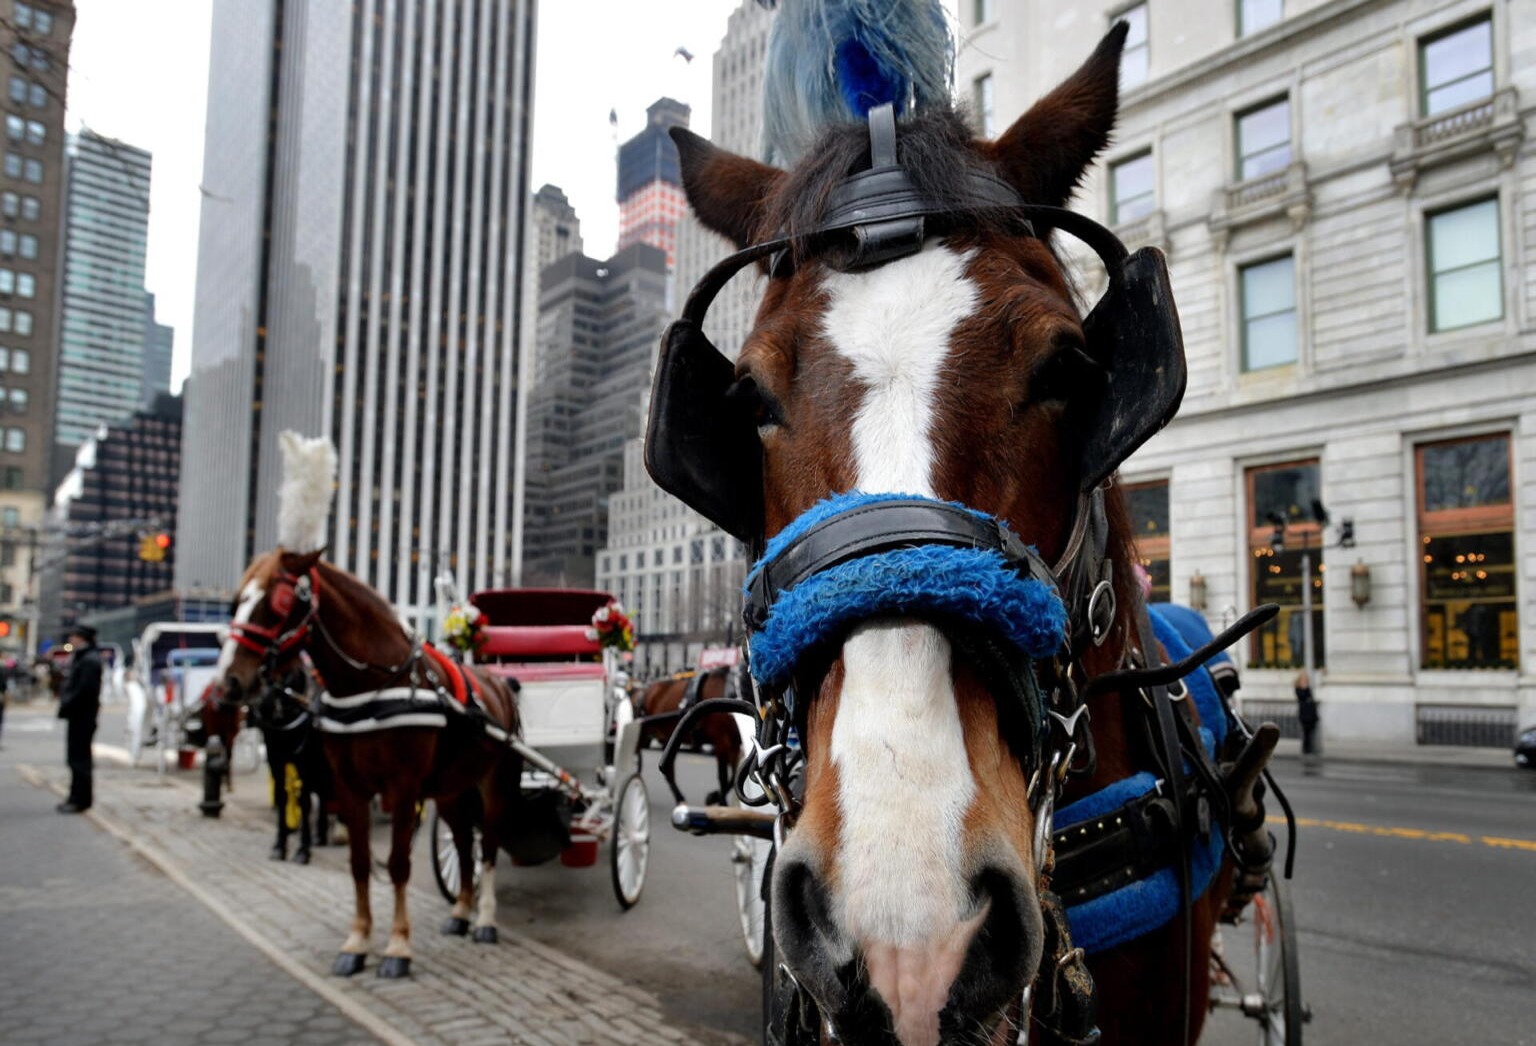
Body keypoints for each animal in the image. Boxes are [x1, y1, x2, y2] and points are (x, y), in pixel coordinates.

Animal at [247, 667, 333, 864]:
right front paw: (279, 846)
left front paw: (303, 851)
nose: (260, 707)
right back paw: (321, 835)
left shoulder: (305, 763)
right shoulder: (276, 761)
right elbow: (281, 798)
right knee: (324, 794)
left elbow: (305, 802)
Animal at [636, 666, 745, 805]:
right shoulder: (722, 742)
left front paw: (714, 797)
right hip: (645, 731)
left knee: (669, 771)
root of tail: (645, 689)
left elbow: (734, 777)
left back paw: (679, 798)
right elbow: (723, 778)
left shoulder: (734, 745)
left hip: (668, 737)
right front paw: (719, 801)